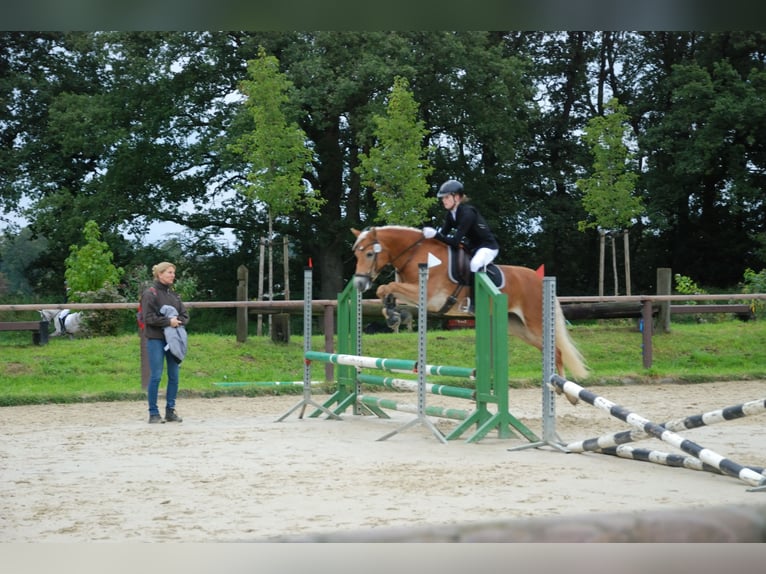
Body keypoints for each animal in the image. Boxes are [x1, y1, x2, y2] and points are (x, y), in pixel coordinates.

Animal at [352, 227, 592, 390]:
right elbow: (385, 290)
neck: (416, 254)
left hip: (535, 322)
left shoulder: (429, 296)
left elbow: (388, 287)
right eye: (356, 255)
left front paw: (392, 315)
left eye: (370, 254)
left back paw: (560, 390)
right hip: (517, 326)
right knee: (548, 350)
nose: (359, 284)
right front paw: (390, 314)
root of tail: (537, 278)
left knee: (557, 351)